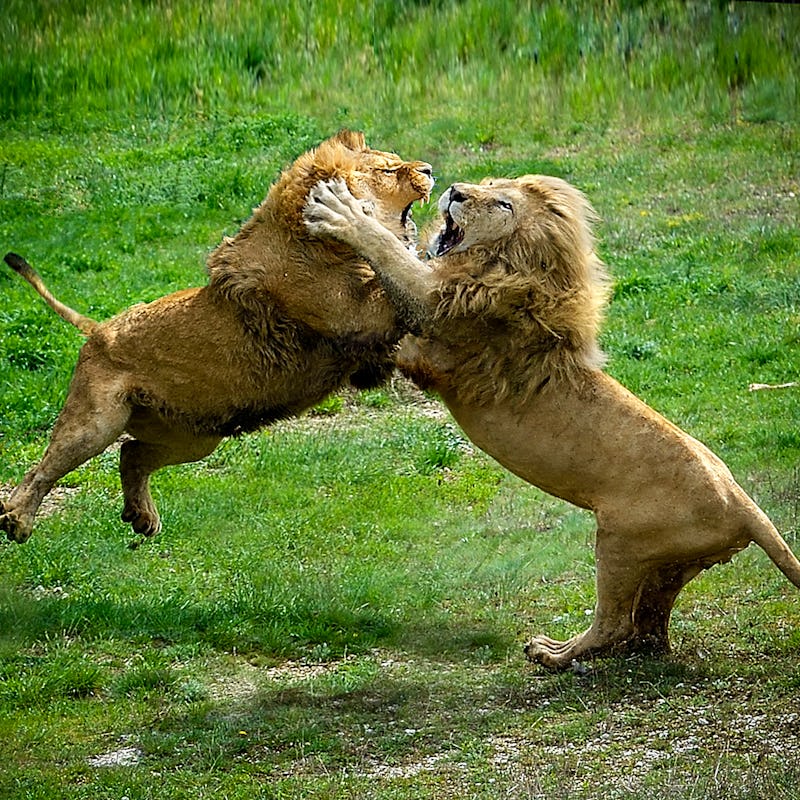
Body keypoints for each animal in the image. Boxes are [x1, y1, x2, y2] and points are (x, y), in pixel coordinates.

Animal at [0, 131, 432, 544]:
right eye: (387, 170)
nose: (428, 169)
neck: (315, 242)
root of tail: (98, 329)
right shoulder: (359, 314)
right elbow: (402, 272)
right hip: (96, 422)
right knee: (43, 469)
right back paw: (17, 520)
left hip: (193, 437)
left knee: (130, 452)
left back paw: (142, 517)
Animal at [304, 175, 800, 668]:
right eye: (487, 182)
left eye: (503, 204)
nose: (456, 191)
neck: (503, 265)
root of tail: (744, 503)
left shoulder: (435, 325)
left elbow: (391, 257)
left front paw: (342, 212)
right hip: (672, 566)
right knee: (648, 626)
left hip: (620, 542)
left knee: (613, 623)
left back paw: (554, 654)